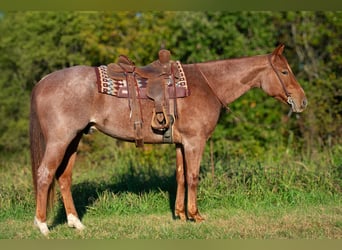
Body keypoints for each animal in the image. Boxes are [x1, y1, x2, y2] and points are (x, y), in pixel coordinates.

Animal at [29, 44, 308, 234]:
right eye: (284, 71)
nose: (302, 101)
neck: (207, 85)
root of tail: (43, 81)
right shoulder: (195, 142)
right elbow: (193, 177)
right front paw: (196, 215)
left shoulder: (181, 144)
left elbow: (181, 176)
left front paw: (181, 215)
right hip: (60, 140)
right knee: (45, 174)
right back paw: (42, 226)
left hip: (74, 140)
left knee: (64, 178)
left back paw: (76, 223)